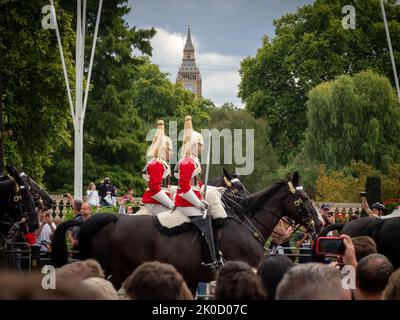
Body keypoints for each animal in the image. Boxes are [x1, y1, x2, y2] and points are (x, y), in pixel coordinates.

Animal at [52, 172, 322, 290]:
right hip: (116, 273)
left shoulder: (192, 279)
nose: (319, 222)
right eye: (304, 198)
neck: (245, 221)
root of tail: (110, 219)